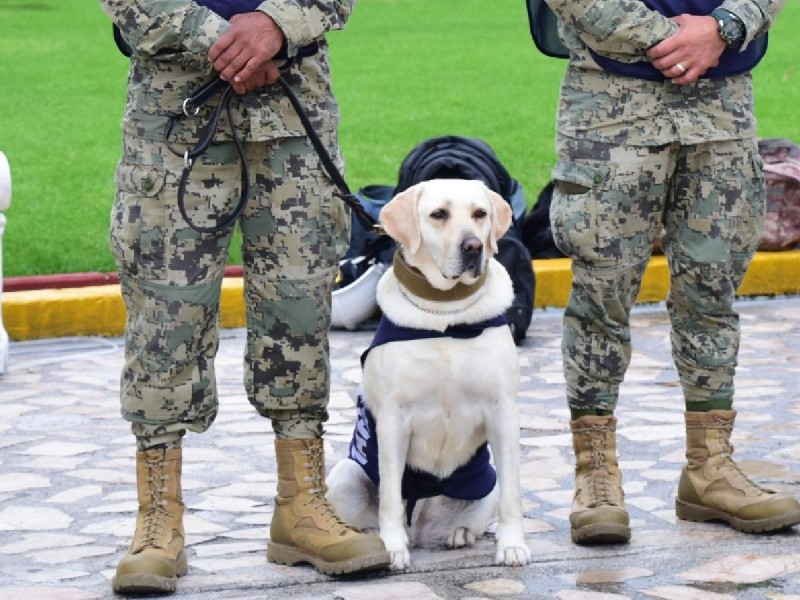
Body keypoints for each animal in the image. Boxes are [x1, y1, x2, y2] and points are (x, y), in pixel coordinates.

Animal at [324, 177, 532, 568]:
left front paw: (513, 545)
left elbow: (514, 494)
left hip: (487, 485)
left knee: (474, 517)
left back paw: (459, 534)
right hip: (345, 476)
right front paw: (392, 548)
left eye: (480, 214)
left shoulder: (503, 411)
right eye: (439, 214)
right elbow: (391, 498)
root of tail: (419, 529)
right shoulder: (393, 420)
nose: (473, 246)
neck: (447, 316)